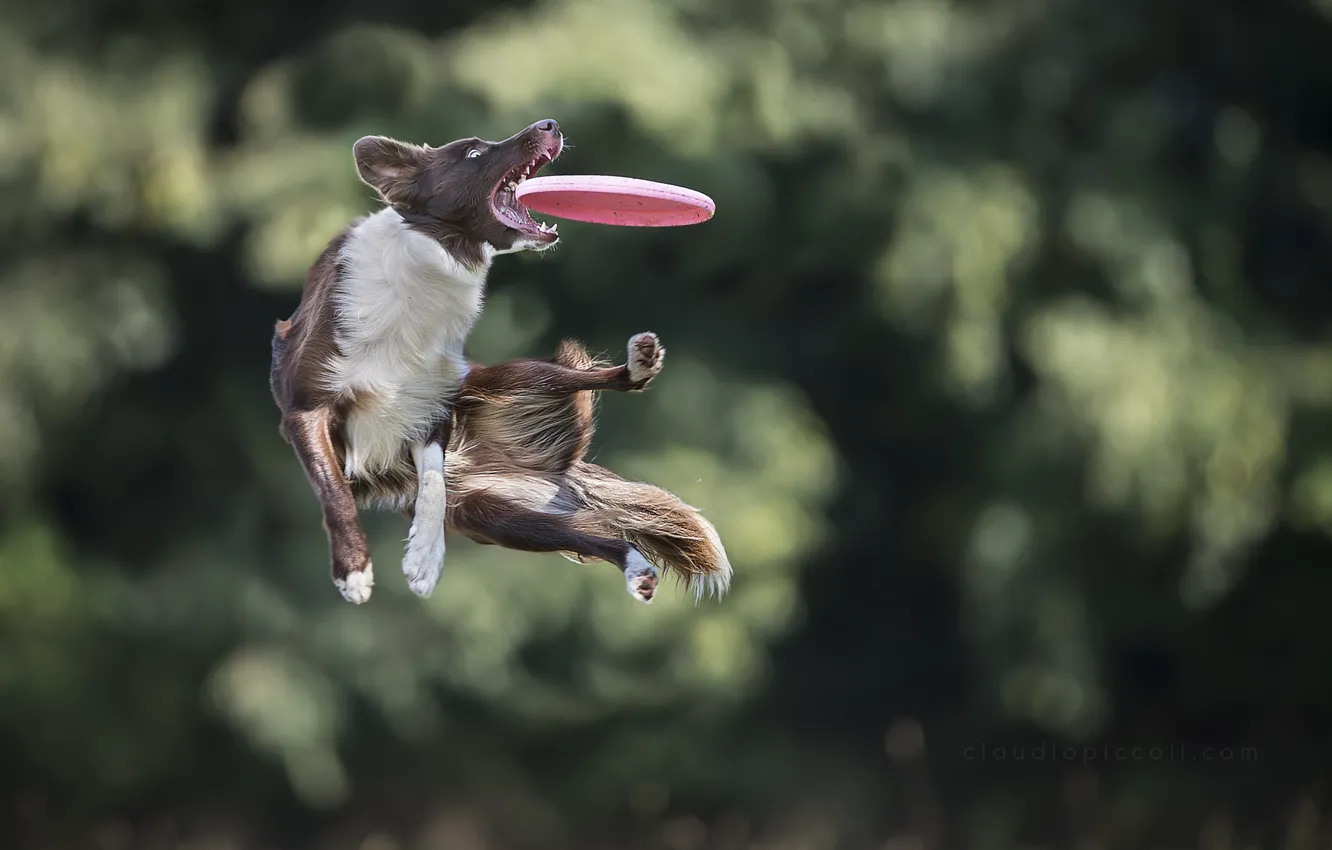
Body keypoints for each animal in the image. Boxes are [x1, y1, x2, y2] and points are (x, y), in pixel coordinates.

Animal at [269, 119, 729, 607]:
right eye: (472, 154)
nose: (550, 124)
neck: (429, 269)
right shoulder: (307, 409)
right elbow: (334, 489)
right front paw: (354, 570)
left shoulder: (434, 407)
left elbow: (434, 483)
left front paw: (425, 558)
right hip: (497, 514)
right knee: (590, 532)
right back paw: (637, 567)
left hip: (500, 403)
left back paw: (636, 369)